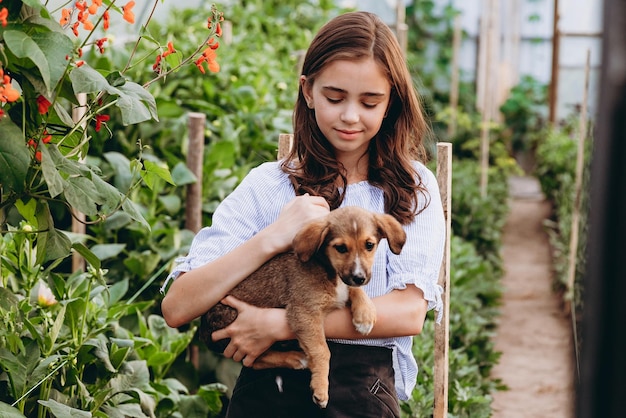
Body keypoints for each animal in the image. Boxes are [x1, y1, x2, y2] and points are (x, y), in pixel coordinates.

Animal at [199, 206, 404, 408]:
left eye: (369, 245)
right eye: (341, 248)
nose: (360, 277)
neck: (328, 270)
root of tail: (203, 334)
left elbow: (353, 290)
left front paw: (365, 314)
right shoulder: (305, 313)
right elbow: (322, 351)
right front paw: (321, 388)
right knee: (254, 360)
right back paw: (296, 359)